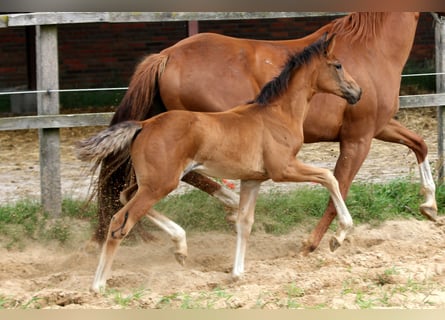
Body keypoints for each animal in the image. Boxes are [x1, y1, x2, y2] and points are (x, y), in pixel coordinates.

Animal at [77, 35, 360, 292]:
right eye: (338, 65)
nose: (358, 91)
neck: (277, 114)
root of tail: (143, 124)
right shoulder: (283, 169)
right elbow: (329, 177)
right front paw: (340, 235)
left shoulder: (253, 179)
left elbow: (245, 223)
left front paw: (236, 274)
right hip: (161, 184)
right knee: (120, 221)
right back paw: (98, 285)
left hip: (152, 182)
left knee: (125, 196)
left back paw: (180, 247)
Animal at [94, 12, 438, 254]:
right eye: (339, 66)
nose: (357, 92)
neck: (372, 49)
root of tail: (165, 56)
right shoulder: (358, 138)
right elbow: (338, 185)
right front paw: (319, 242)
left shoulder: (381, 127)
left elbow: (420, 145)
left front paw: (430, 207)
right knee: (183, 175)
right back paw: (231, 204)